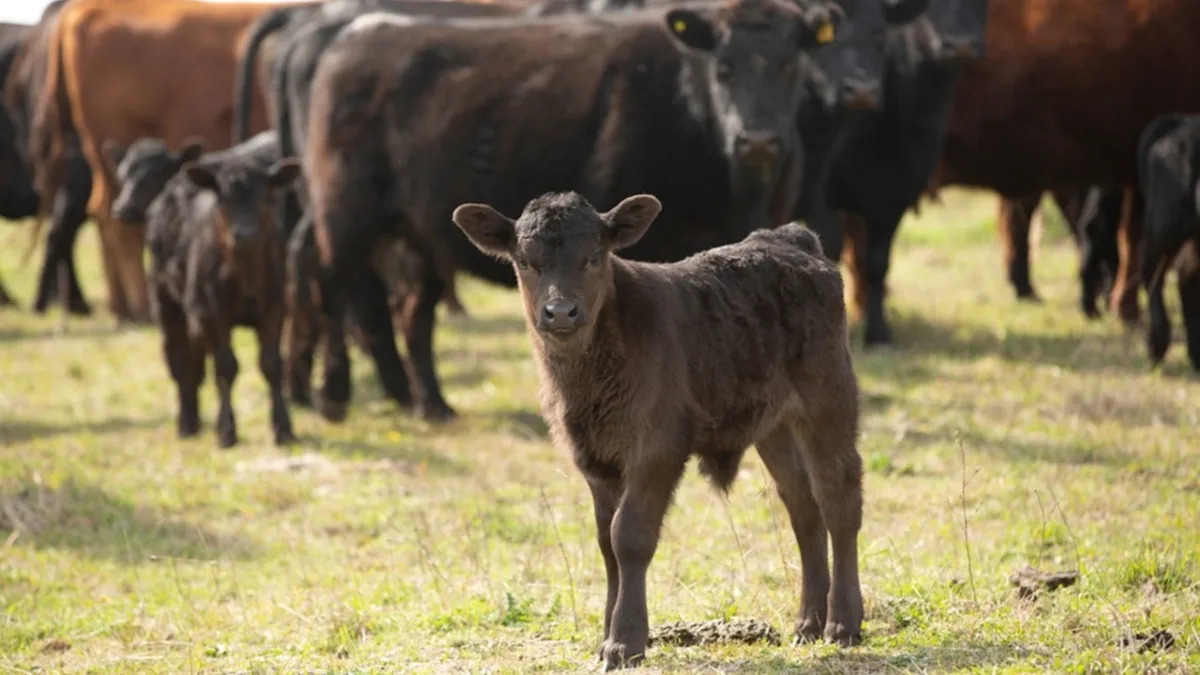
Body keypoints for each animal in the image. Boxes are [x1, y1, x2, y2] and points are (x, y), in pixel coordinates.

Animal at [110, 131, 300, 447]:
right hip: (166, 301)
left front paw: (283, 427)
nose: (244, 234)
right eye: (222, 200)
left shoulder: (275, 309)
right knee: (178, 358)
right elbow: (224, 367)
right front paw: (226, 430)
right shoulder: (210, 313)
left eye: (267, 197)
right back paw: (187, 422)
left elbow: (271, 365)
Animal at [302, 0, 847, 422]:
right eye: (723, 66)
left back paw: (431, 404)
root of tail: (358, 34)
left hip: (423, 234)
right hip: (344, 216)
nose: (758, 140)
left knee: (413, 311)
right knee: (332, 290)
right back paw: (333, 398)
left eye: (792, 66)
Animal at [452, 192, 863, 669]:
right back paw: (808, 623)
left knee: (838, 500)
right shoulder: (595, 459)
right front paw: (606, 636)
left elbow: (629, 536)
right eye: (525, 261)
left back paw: (843, 624)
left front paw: (624, 641)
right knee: (802, 505)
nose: (560, 312)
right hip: (774, 424)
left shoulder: (656, 448)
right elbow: (605, 543)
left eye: (594, 256)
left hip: (828, 398)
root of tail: (788, 238)